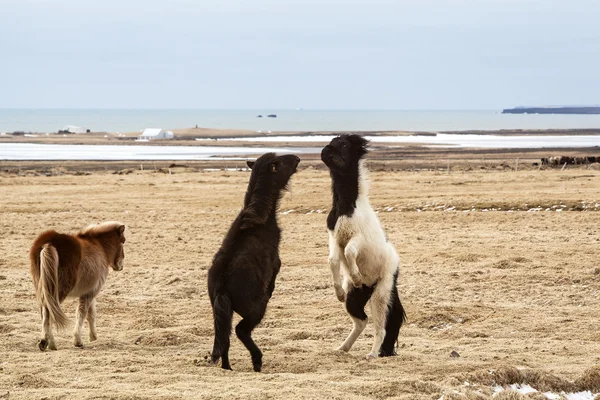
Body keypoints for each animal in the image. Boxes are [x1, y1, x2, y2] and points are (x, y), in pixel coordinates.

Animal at [29, 222, 126, 350]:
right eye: (123, 241)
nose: (121, 266)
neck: (99, 246)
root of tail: (48, 244)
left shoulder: (89, 292)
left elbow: (91, 314)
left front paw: (93, 337)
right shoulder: (91, 292)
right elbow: (83, 313)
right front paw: (78, 341)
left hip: (43, 288)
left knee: (44, 311)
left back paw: (46, 342)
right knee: (49, 310)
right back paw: (50, 343)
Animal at [207, 152, 300, 372]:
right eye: (281, 162)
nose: (297, 158)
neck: (258, 220)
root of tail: (221, 286)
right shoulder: (275, 261)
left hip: (222, 313)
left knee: (225, 338)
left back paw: (228, 367)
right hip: (255, 310)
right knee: (241, 331)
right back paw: (257, 360)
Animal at [322, 134, 406, 360]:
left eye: (344, 144)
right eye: (331, 141)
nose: (325, 151)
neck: (347, 208)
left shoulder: (359, 238)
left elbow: (350, 252)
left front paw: (357, 275)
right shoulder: (335, 238)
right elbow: (333, 260)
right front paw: (338, 291)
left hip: (381, 294)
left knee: (381, 328)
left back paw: (373, 354)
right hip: (355, 299)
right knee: (361, 321)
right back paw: (342, 348)